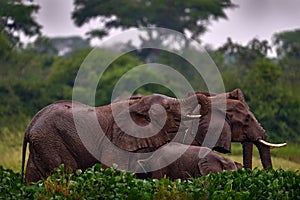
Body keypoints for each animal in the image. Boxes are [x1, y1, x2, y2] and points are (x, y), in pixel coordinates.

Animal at [21, 93, 209, 184]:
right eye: (167, 107)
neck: (137, 103)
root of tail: (30, 126)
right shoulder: (113, 142)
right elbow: (113, 172)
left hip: (41, 144)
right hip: (51, 141)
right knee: (66, 170)